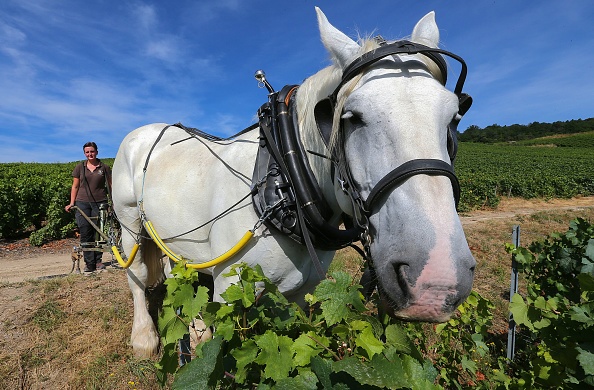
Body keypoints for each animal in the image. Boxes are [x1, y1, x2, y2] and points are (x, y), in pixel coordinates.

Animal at [111, 6, 474, 360]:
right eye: (351, 117)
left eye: (454, 117)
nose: (437, 281)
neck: (285, 180)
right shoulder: (230, 290)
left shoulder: (302, 293)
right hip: (129, 222)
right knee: (137, 273)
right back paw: (145, 338)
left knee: (180, 275)